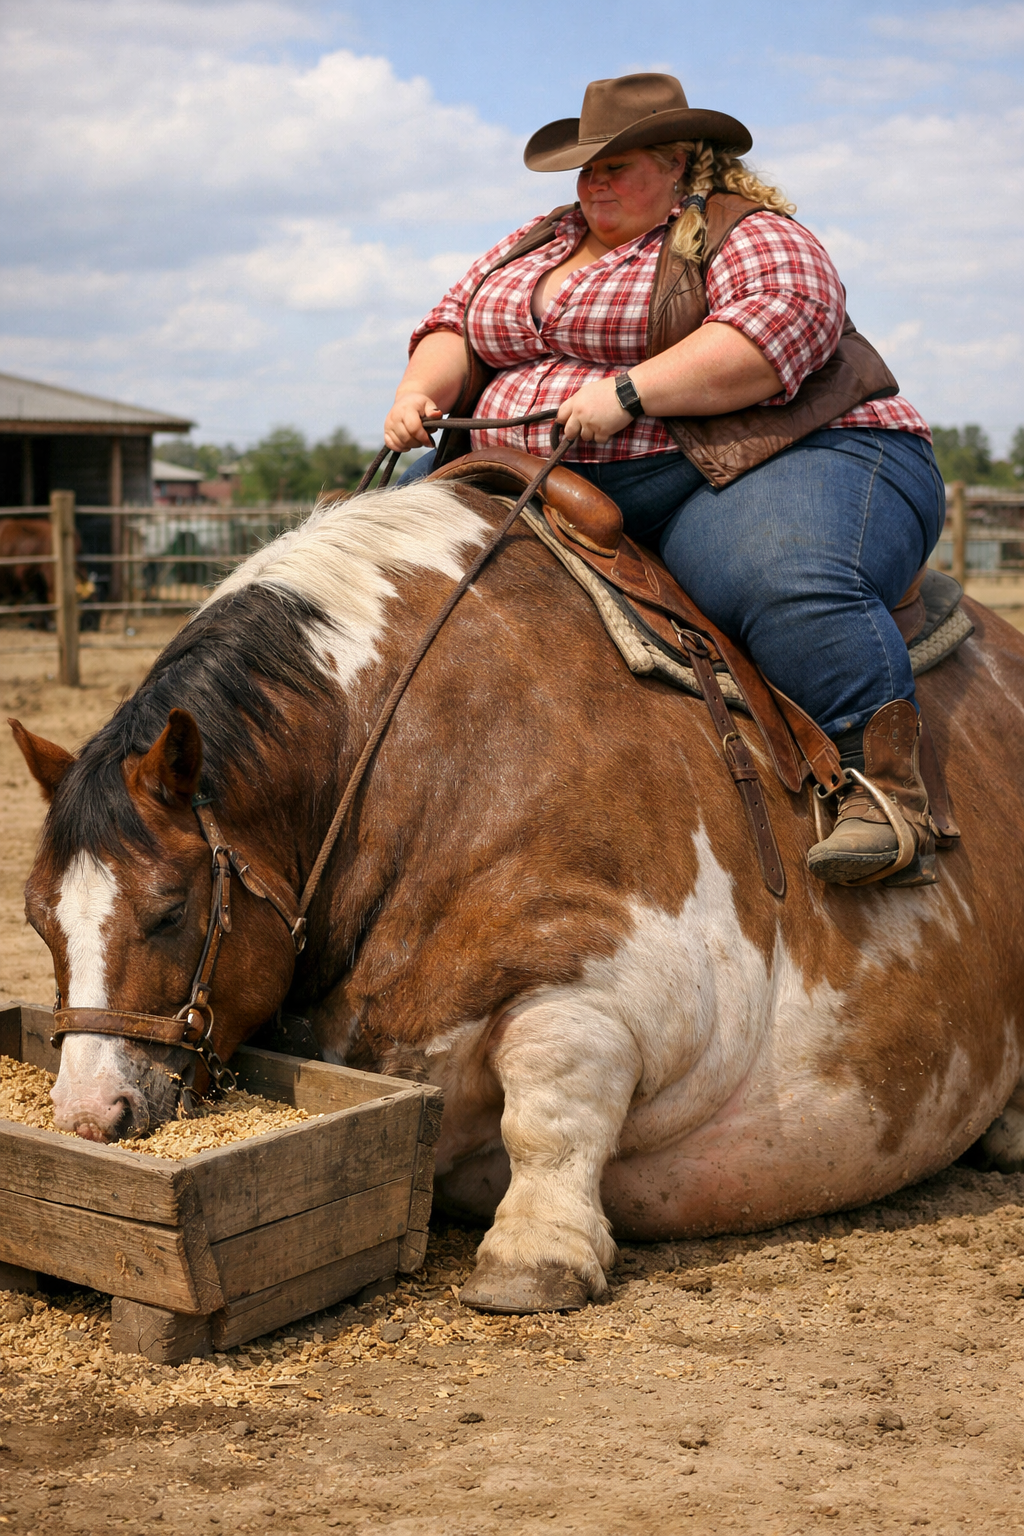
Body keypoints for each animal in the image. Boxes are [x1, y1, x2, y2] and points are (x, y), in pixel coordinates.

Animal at [10, 478, 1024, 1313]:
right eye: (37, 921)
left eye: (172, 908)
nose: (89, 1114)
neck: (413, 761)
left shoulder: (611, 985)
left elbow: (551, 1105)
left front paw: (533, 1257)